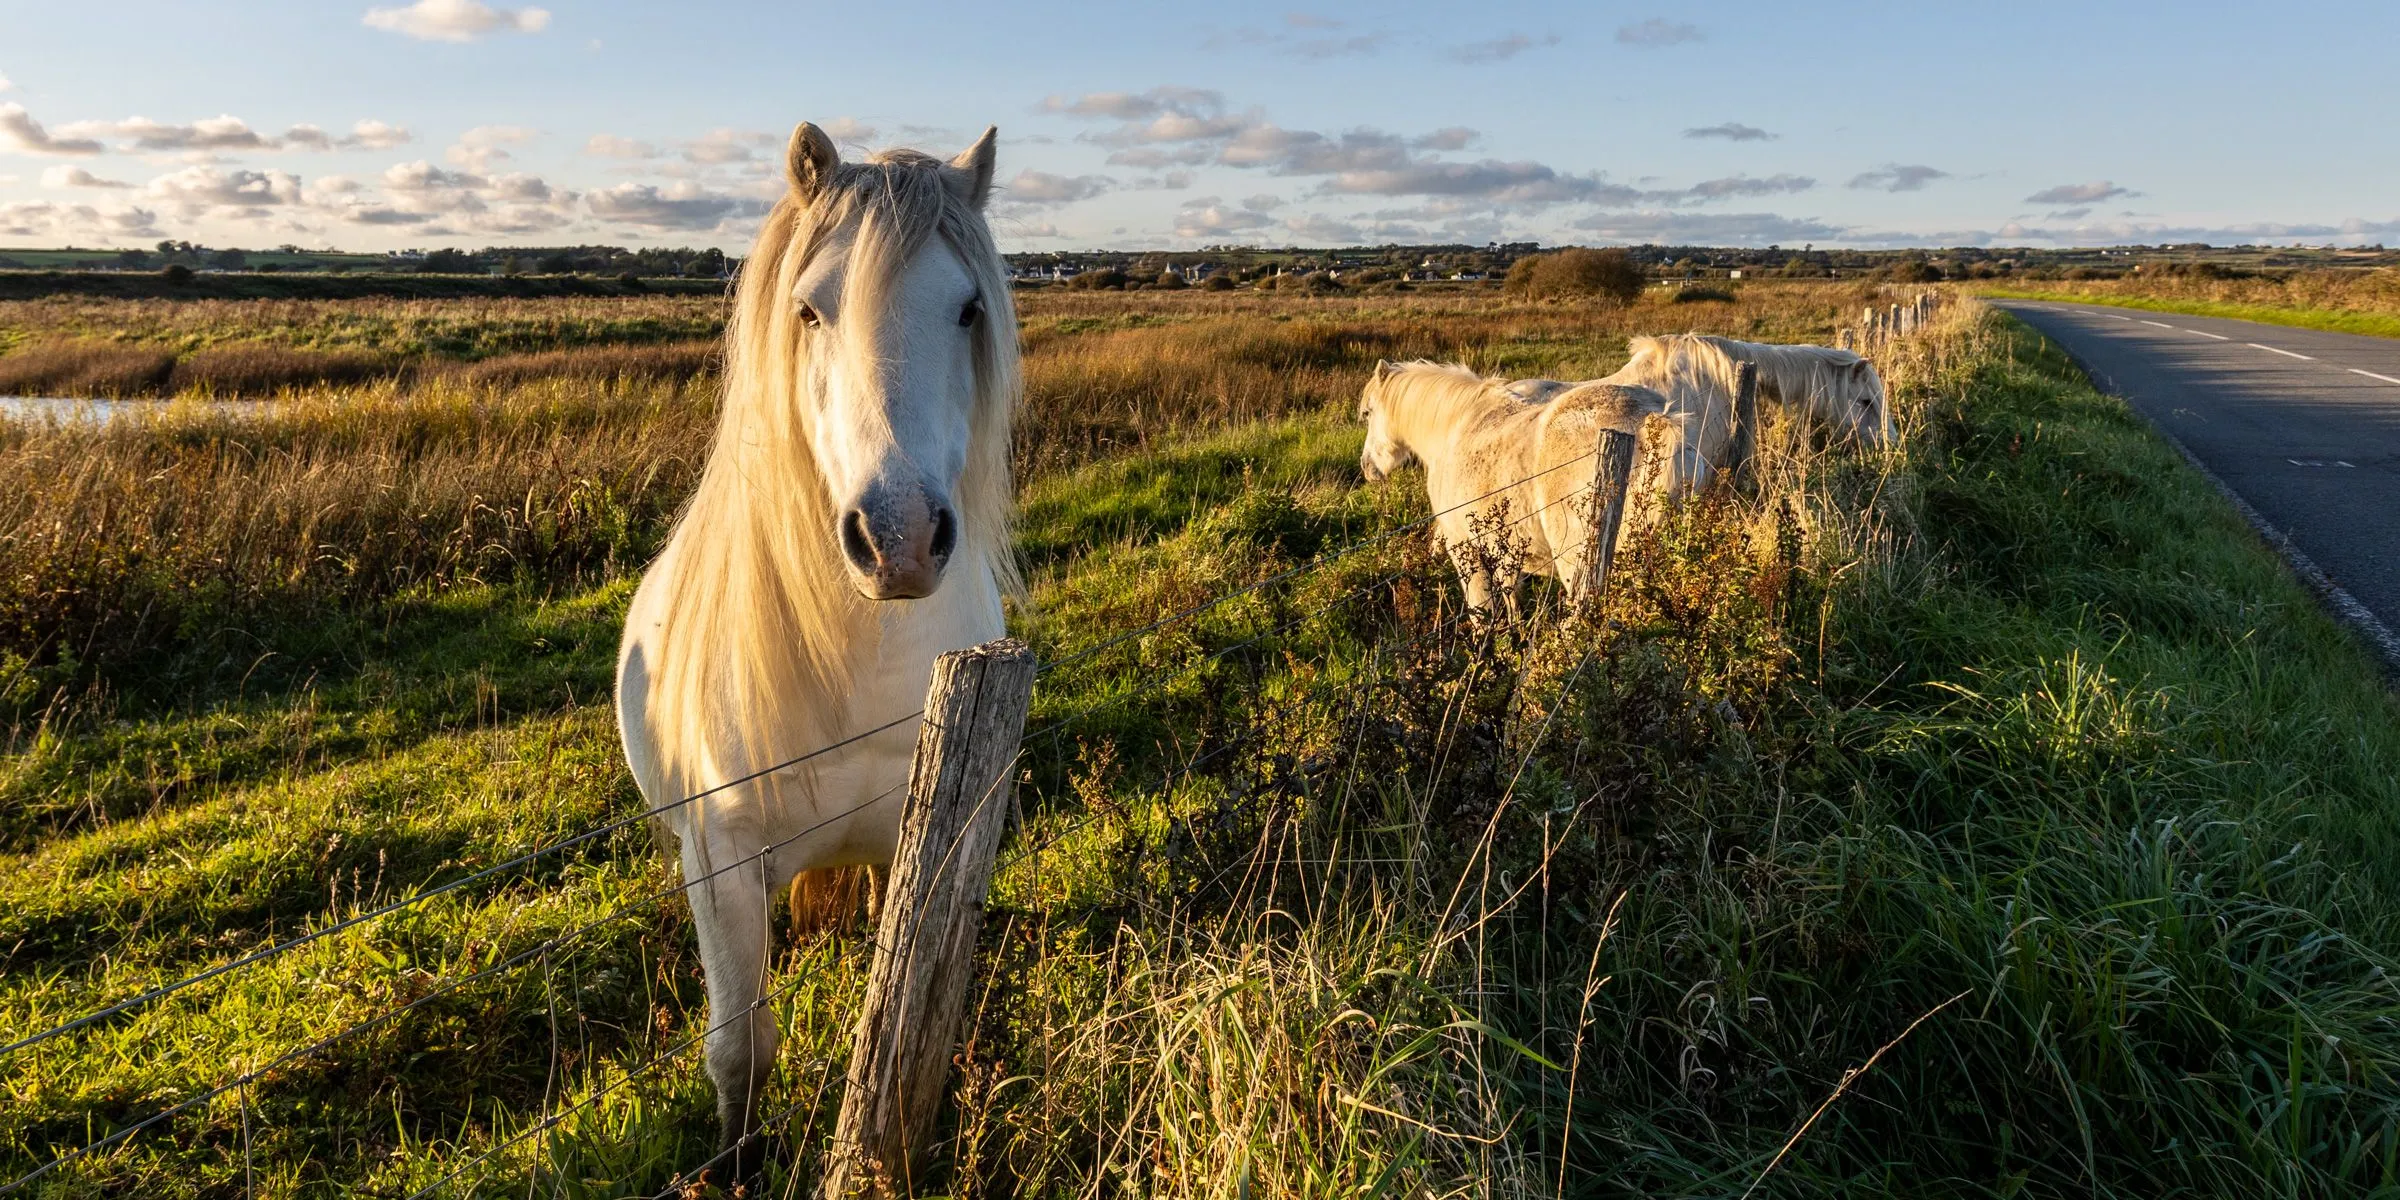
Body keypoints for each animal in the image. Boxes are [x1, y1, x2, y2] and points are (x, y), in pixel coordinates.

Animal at [614, 120, 1019, 1160]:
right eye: (809, 310)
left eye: (968, 309)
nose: (899, 537)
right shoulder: (720, 867)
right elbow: (740, 1052)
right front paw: (735, 1161)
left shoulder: (925, 837)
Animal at [1358, 360, 1681, 613]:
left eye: (1367, 413)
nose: (1367, 467)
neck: (1456, 427)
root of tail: (1652, 419)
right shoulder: (1506, 553)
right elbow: (1511, 601)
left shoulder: (1463, 548)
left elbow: (1482, 614)